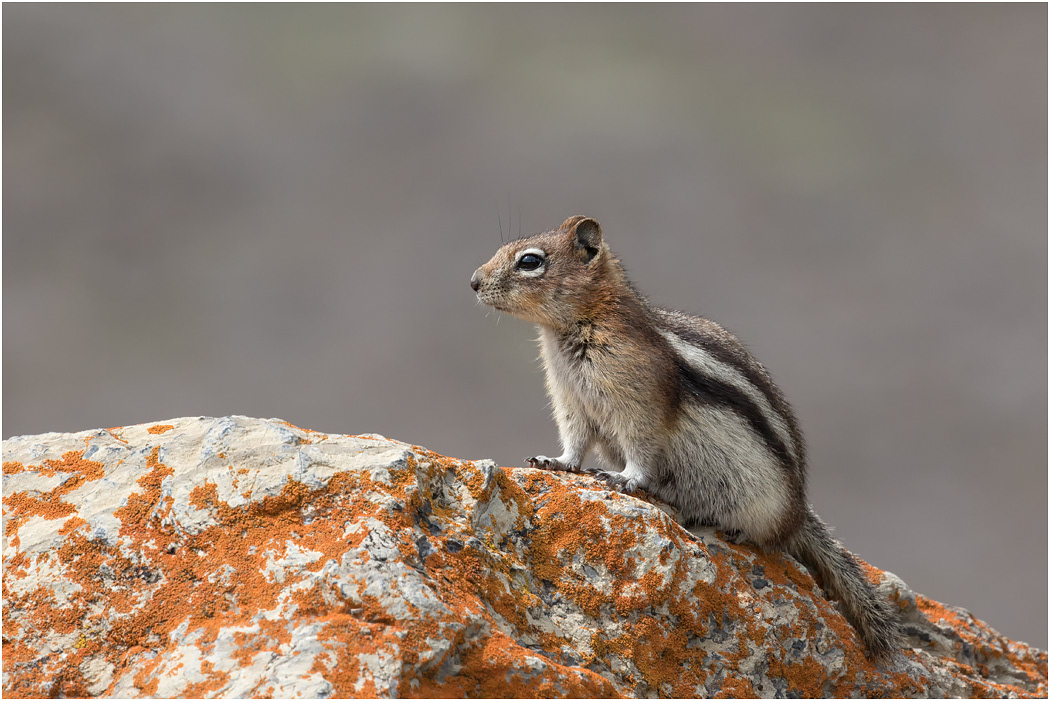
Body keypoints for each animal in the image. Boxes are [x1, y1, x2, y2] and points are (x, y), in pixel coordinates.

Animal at [470, 215, 904, 659]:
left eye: (529, 261)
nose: (473, 282)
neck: (576, 326)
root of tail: (799, 511)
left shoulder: (637, 402)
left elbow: (641, 447)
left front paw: (624, 478)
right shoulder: (571, 400)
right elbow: (574, 441)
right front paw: (555, 462)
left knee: (772, 537)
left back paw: (739, 531)